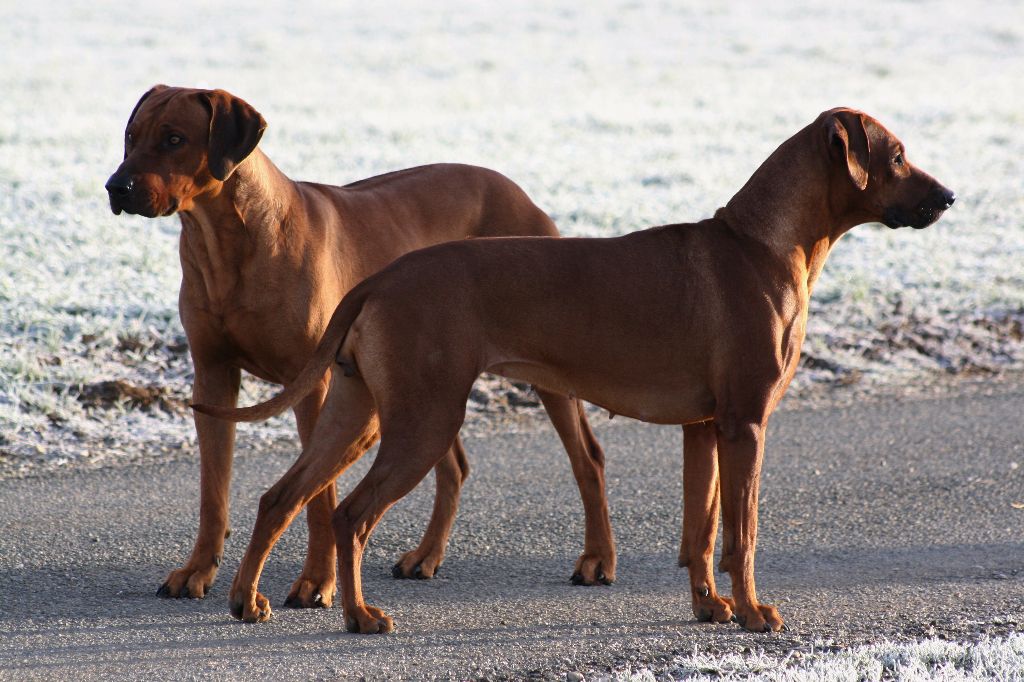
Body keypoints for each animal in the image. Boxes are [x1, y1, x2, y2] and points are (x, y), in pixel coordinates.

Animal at [108, 83, 610, 606]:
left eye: (174, 139)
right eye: (131, 135)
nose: (115, 187)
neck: (227, 243)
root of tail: (519, 191)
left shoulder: (314, 384)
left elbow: (318, 497)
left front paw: (316, 581)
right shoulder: (212, 377)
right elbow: (213, 491)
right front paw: (198, 570)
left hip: (542, 370)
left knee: (587, 459)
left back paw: (595, 560)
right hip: (424, 373)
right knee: (454, 466)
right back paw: (426, 555)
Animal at [195, 107, 954, 630]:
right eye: (897, 155)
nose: (948, 197)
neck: (762, 244)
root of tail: (381, 279)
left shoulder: (705, 427)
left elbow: (703, 531)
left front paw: (710, 608)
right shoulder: (745, 424)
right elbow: (743, 532)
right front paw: (753, 613)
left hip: (357, 410)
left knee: (280, 496)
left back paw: (245, 597)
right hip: (420, 420)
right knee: (352, 514)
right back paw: (358, 616)